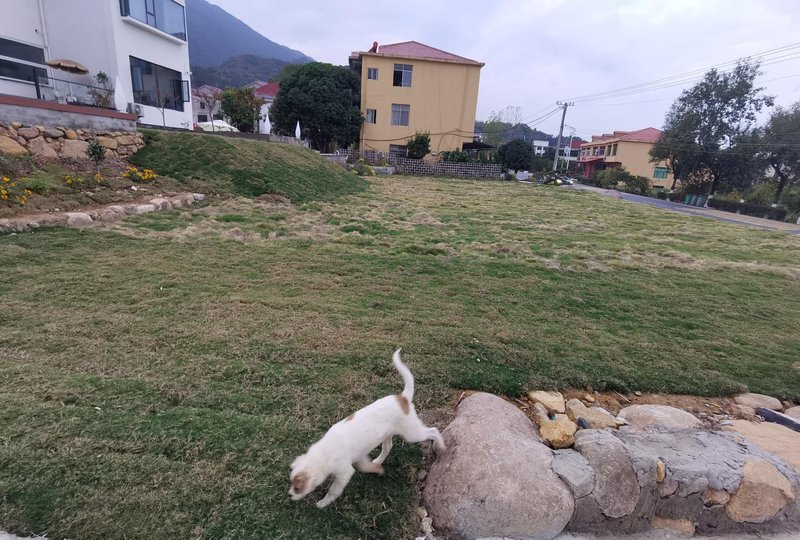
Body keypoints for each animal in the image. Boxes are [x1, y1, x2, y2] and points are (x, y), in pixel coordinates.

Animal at [289, 348, 446, 508]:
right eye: (292, 484)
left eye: (298, 488)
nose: (289, 495)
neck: (324, 451)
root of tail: (403, 398)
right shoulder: (359, 458)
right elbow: (365, 466)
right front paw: (377, 469)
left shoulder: (344, 472)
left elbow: (333, 490)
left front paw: (323, 503)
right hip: (388, 433)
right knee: (388, 446)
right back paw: (378, 461)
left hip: (411, 433)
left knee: (433, 430)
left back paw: (442, 446)